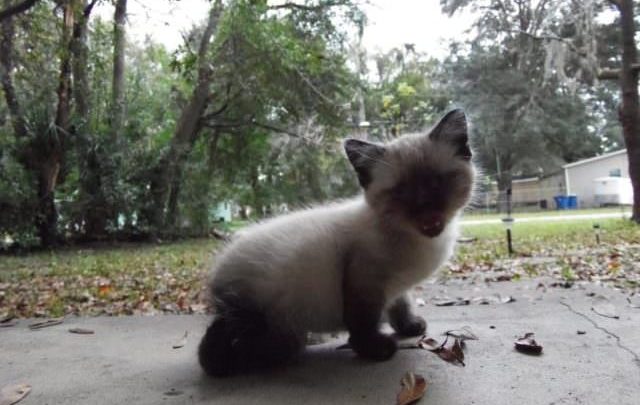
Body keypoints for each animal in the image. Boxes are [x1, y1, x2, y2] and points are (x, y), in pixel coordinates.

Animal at [200, 108, 476, 376]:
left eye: (436, 182)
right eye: (401, 192)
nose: (425, 208)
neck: (419, 241)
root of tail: (216, 275)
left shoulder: (397, 286)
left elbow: (401, 305)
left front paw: (410, 327)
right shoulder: (365, 280)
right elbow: (363, 323)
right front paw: (375, 349)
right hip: (271, 318)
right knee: (222, 350)